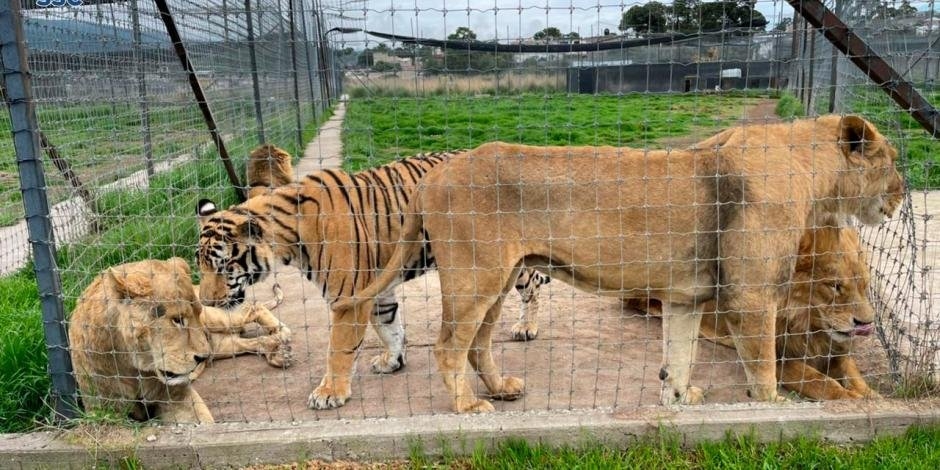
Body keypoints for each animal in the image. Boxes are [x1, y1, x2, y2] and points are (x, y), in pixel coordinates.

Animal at [199, 149, 552, 410]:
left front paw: (329, 393)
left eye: (223, 265)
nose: (205, 302)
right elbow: (389, 327)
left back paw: (526, 327)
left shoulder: (347, 298)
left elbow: (339, 347)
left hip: (511, 261)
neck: (290, 239)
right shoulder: (377, 290)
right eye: (201, 265)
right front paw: (392, 361)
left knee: (533, 285)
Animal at [624, 226, 880, 402]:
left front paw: (871, 396)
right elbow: (819, 381)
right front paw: (851, 399)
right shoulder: (778, 358)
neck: (807, 323)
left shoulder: (835, 349)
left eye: (864, 285)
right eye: (835, 286)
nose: (866, 323)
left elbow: (852, 373)